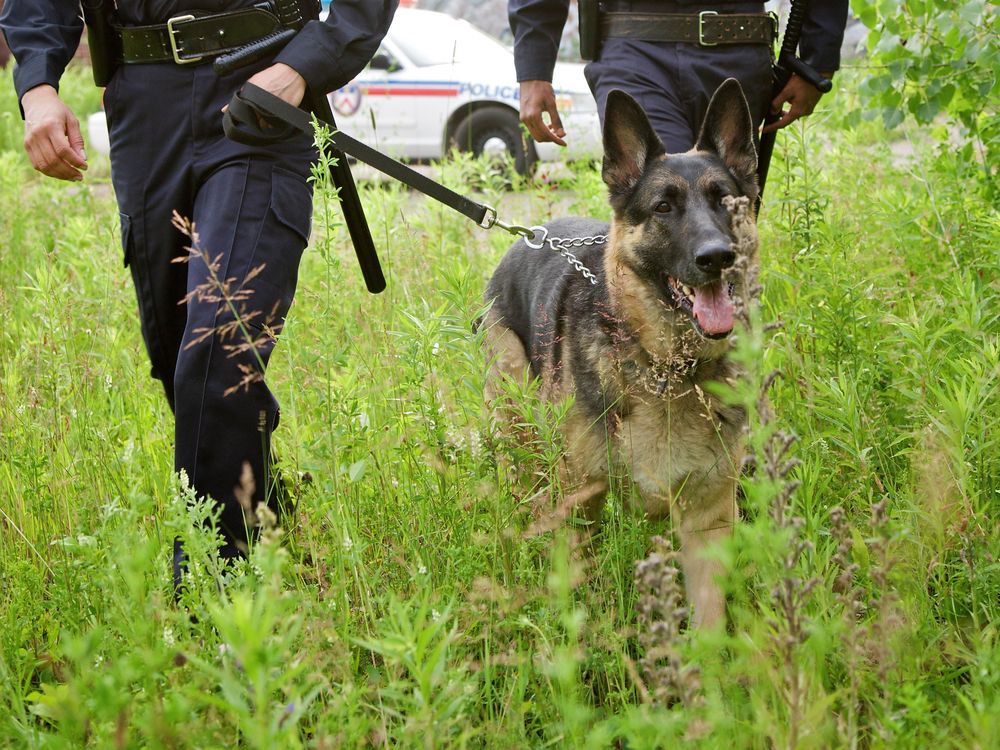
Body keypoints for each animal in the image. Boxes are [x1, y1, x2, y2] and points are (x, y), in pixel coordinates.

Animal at [482, 79, 756, 632]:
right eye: (663, 207)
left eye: (724, 201)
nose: (717, 257)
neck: (667, 367)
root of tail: (528, 235)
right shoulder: (579, 505)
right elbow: (576, 599)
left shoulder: (707, 521)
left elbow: (709, 626)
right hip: (520, 424)